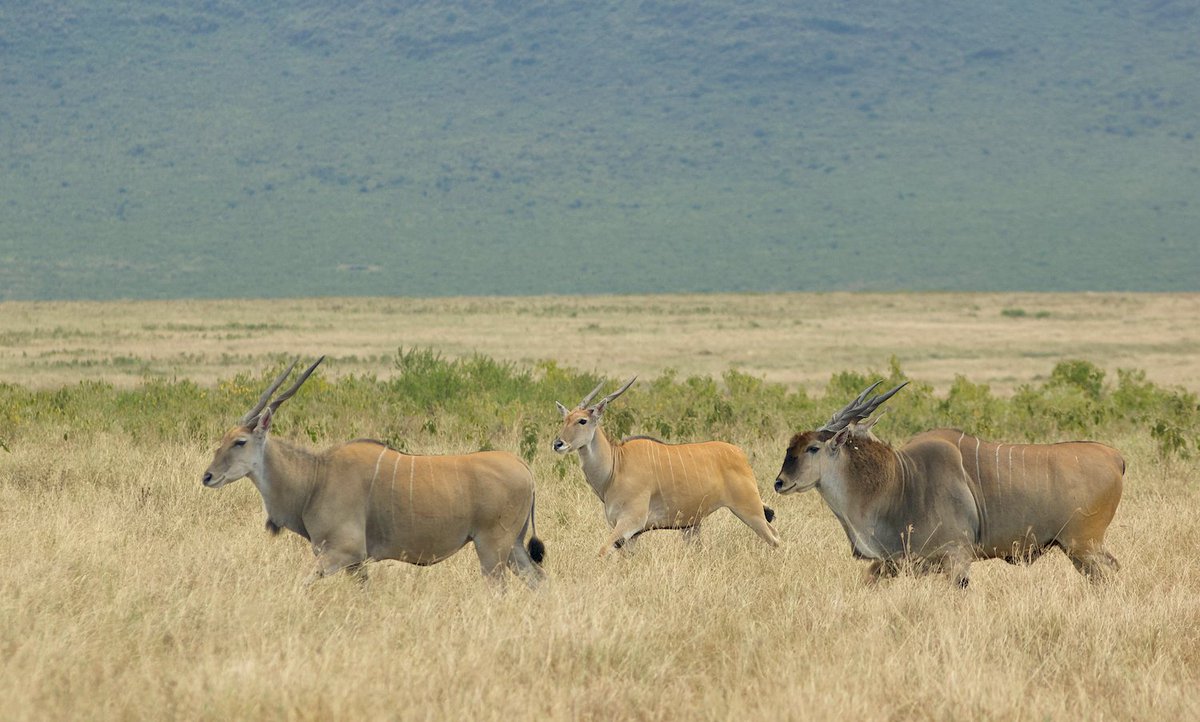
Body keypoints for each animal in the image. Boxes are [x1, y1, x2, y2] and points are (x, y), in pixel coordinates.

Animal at [202, 357, 545, 587]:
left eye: (239, 442)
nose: (207, 476)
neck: (316, 478)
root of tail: (523, 467)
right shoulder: (356, 564)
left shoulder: (341, 552)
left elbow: (302, 584)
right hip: (513, 547)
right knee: (539, 579)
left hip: (491, 547)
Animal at [553, 377, 780, 556]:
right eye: (564, 419)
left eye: (582, 420)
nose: (558, 444)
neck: (616, 466)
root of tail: (740, 454)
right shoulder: (630, 536)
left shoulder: (630, 522)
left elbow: (601, 552)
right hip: (692, 527)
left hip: (749, 510)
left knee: (775, 537)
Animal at [774, 381, 1124, 587]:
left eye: (812, 448)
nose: (780, 482)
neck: (898, 482)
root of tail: (1114, 456)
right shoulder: (895, 563)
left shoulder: (957, 558)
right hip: (1081, 550)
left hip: (1084, 547)